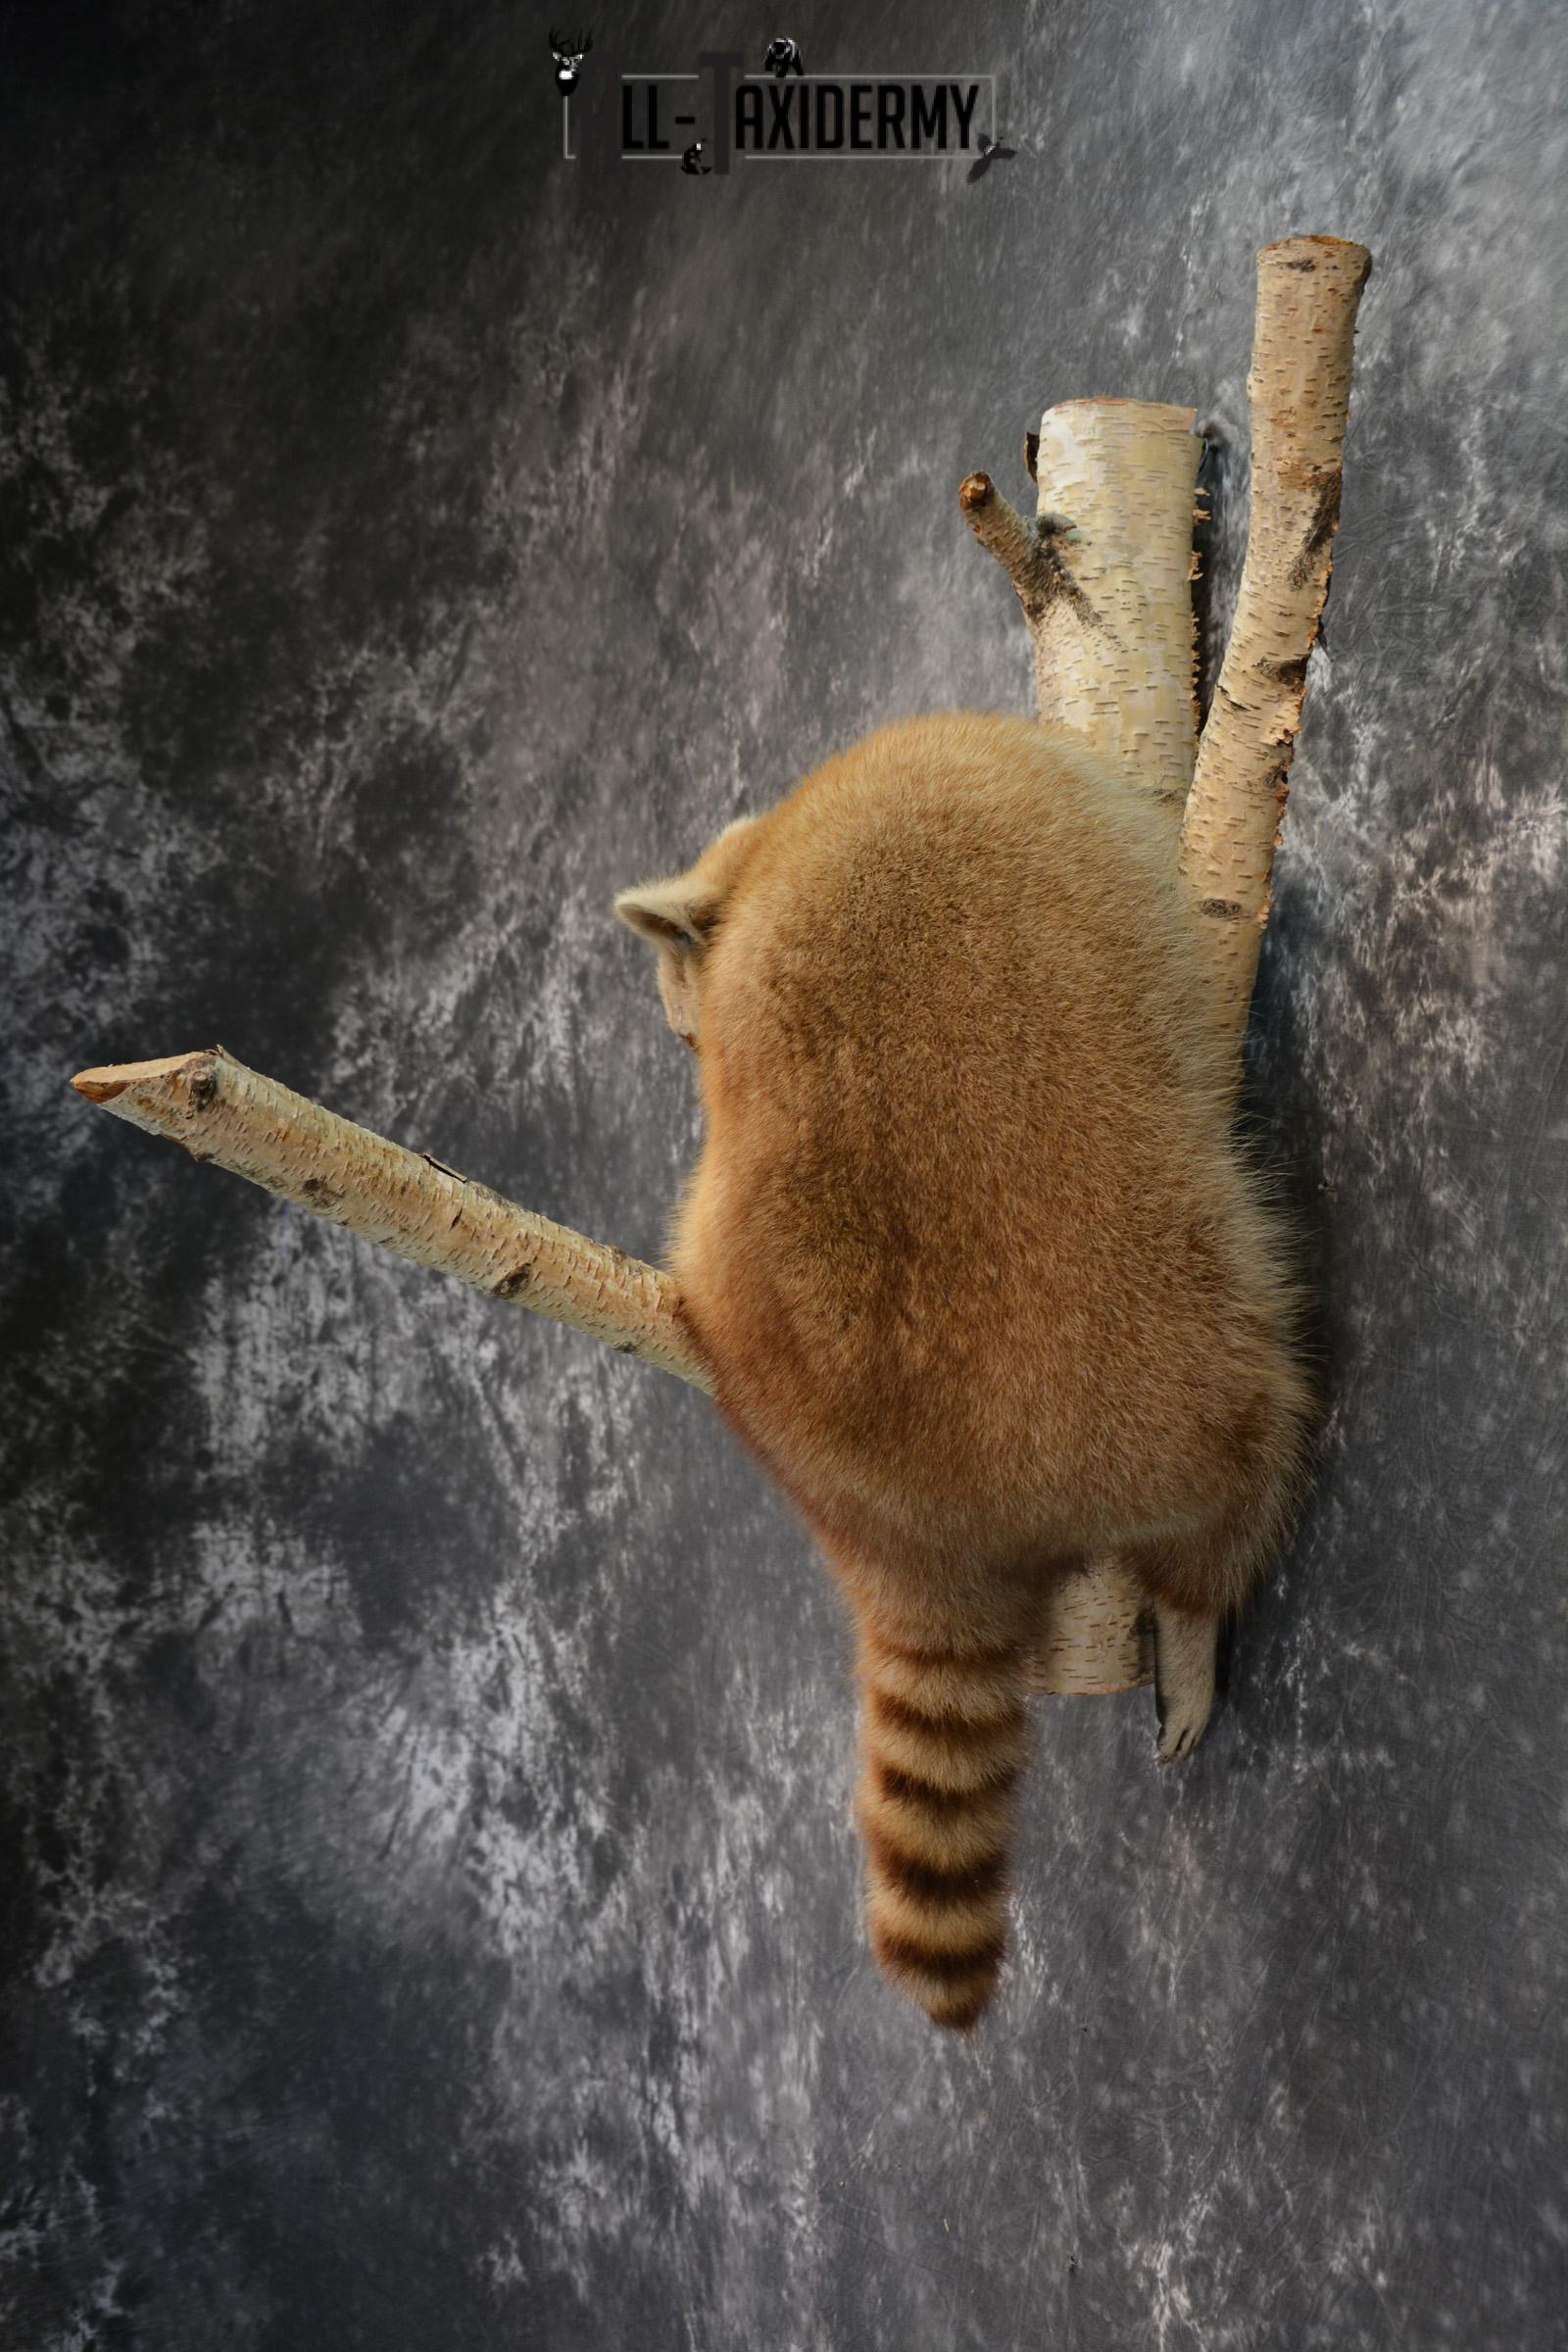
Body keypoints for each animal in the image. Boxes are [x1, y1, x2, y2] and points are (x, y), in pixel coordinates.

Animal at [615, 712, 1315, 2031]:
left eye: (686, 1033)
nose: (687, 1045)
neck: (772, 846)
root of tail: (901, 1525)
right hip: (1142, 1328)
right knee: (1242, 1424)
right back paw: (1200, 1600)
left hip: (745, 1326)